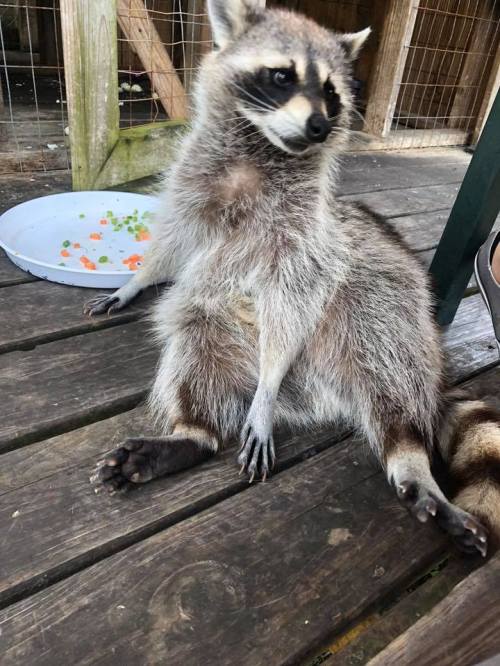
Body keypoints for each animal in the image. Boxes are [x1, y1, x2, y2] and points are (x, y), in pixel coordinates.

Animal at [87, 0, 500, 556]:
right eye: (282, 76)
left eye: (333, 90)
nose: (321, 125)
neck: (260, 149)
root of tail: (321, 394)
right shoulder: (194, 185)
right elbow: (174, 242)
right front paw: (137, 279)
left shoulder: (306, 235)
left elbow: (297, 292)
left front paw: (264, 393)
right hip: (226, 330)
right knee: (195, 339)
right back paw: (192, 434)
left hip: (386, 306)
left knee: (392, 379)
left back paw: (408, 455)